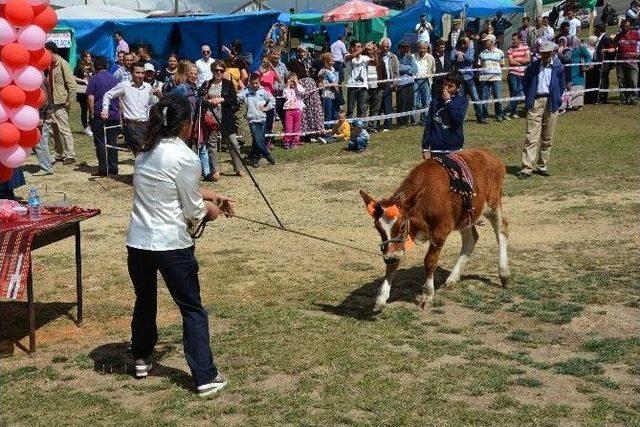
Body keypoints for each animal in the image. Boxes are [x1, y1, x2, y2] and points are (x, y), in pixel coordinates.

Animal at [360, 148, 510, 310]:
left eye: (401, 225)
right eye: (377, 227)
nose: (389, 258)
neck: (423, 201)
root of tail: (488, 153)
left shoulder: (440, 231)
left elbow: (430, 261)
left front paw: (427, 294)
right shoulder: (396, 245)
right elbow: (393, 264)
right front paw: (381, 297)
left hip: (493, 203)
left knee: (502, 229)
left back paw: (504, 273)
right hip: (465, 216)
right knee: (471, 239)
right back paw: (452, 278)